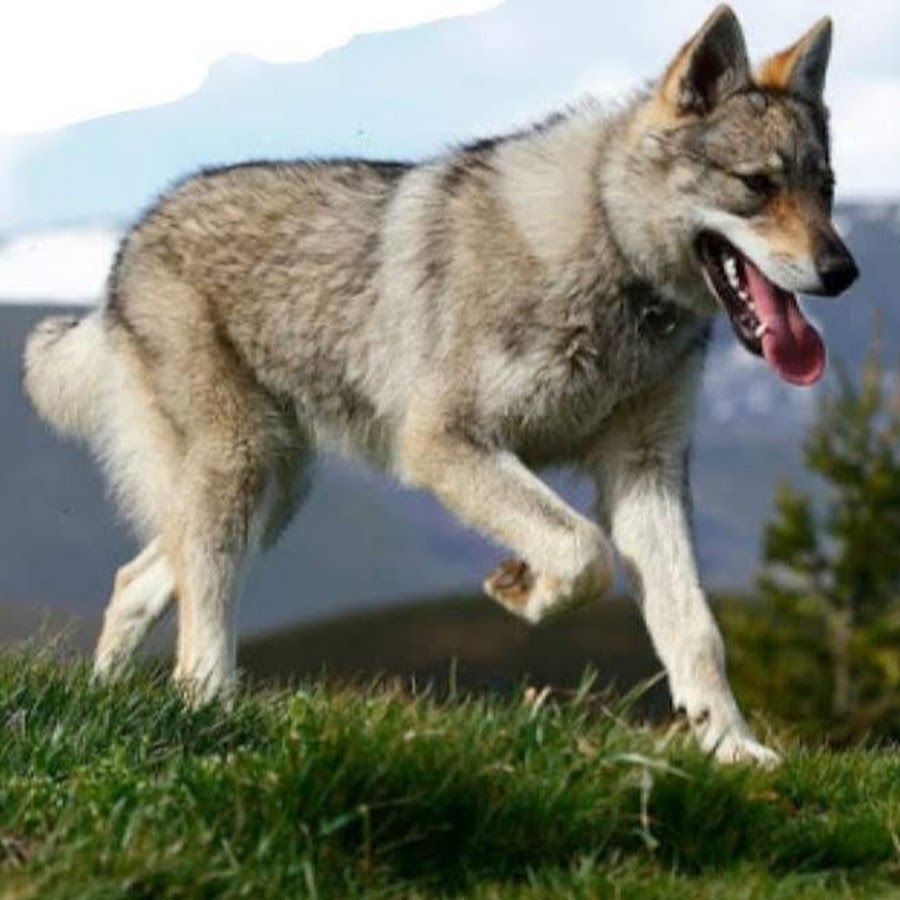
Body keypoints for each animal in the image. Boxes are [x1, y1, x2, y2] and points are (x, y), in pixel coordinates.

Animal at [24, 7, 856, 764]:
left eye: (826, 189)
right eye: (757, 186)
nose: (843, 271)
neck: (610, 256)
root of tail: (128, 244)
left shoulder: (645, 471)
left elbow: (695, 629)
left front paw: (733, 751)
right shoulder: (444, 445)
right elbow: (582, 552)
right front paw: (525, 587)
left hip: (274, 492)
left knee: (135, 580)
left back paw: (110, 699)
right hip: (239, 471)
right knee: (201, 607)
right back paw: (212, 709)